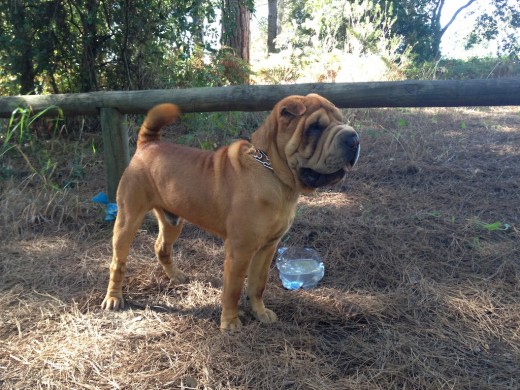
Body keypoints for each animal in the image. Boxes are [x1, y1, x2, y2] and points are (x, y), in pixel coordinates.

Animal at [103, 93, 360, 330]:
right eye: (315, 127)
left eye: (342, 120)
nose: (354, 138)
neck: (274, 173)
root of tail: (148, 144)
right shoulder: (240, 250)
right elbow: (233, 289)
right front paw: (230, 322)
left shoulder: (267, 247)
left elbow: (258, 284)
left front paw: (260, 313)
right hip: (127, 220)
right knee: (117, 262)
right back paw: (113, 298)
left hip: (173, 221)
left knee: (161, 247)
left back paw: (176, 276)